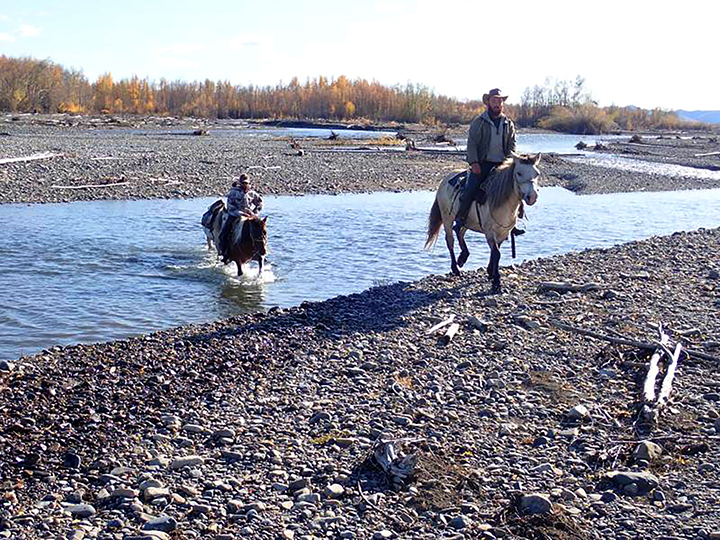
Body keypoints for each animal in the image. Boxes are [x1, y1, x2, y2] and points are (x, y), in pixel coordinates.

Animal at [422, 152, 540, 296]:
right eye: (519, 173)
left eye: (537, 174)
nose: (532, 197)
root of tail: (444, 180)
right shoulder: (490, 232)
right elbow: (496, 253)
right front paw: (496, 283)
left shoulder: (502, 233)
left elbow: (495, 252)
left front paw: (491, 273)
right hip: (447, 218)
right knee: (450, 240)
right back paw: (455, 268)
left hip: (467, 221)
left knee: (459, 231)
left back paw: (463, 257)